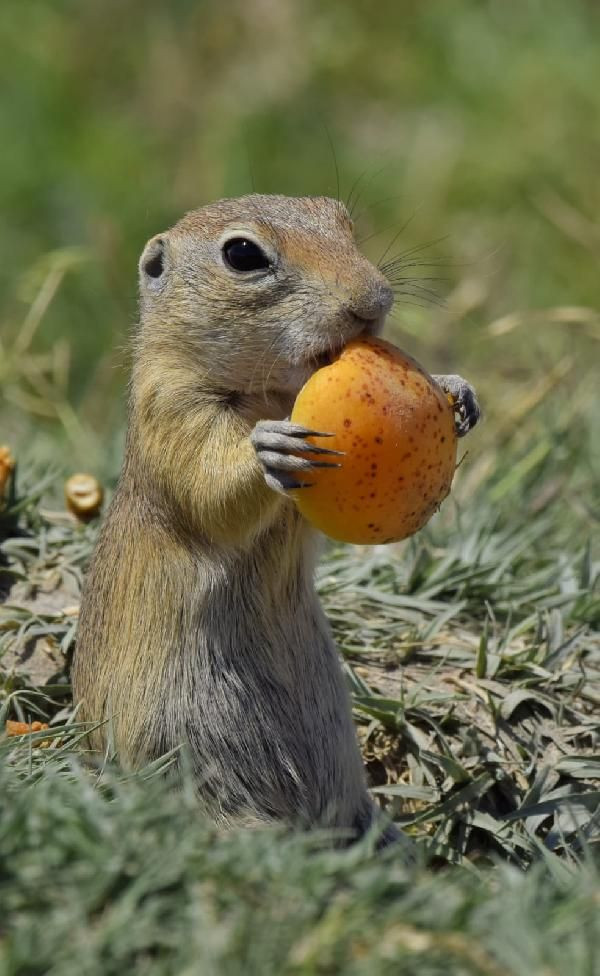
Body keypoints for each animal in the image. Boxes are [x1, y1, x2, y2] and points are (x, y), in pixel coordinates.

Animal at [74, 194, 478, 844]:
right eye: (243, 254)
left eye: (342, 220)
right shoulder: (171, 412)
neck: (272, 393)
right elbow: (209, 486)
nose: (373, 301)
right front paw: (271, 449)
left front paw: (457, 390)